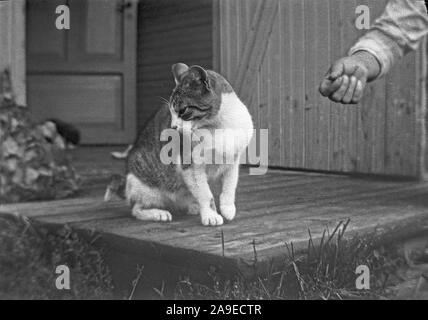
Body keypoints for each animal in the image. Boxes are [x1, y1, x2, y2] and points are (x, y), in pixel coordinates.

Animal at [123, 63, 252, 225]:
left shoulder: (232, 162)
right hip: (147, 188)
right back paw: (158, 213)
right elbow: (205, 194)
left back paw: (193, 206)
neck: (218, 126)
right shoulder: (191, 166)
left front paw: (227, 208)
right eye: (171, 113)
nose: (173, 127)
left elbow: (230, 187)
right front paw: (211, 215)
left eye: (183, 110)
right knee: (136, 209)